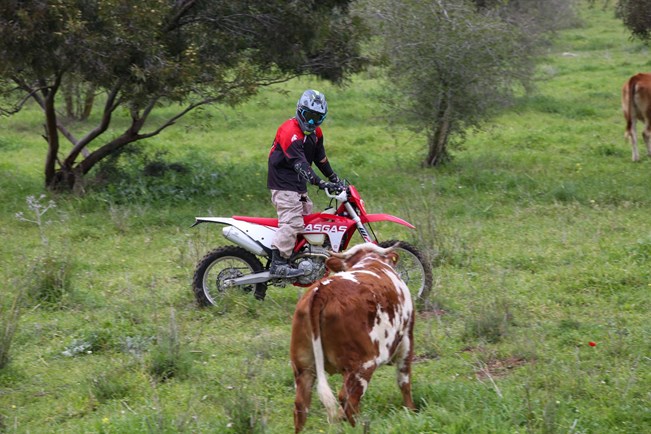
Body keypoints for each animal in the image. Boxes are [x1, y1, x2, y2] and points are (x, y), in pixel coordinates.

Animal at [290, 242, 418, 432]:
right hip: (362, 366)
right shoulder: (407, 340)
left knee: (301, 405)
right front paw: (411, 411)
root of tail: (322, 291)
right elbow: (404, 381)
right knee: (347, 399)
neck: (370, 261)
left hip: (303, 366)